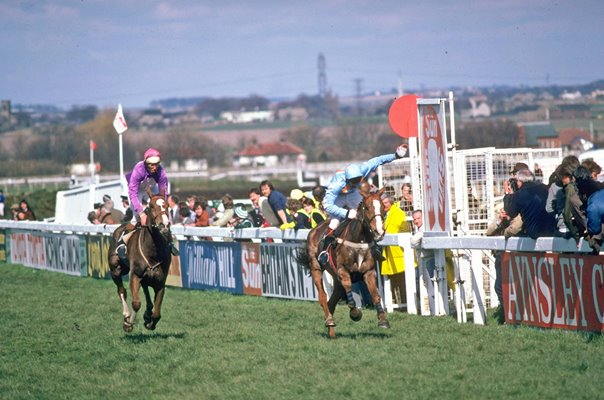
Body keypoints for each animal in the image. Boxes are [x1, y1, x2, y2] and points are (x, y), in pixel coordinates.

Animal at [107, 191, 170, 332]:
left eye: (168, 206)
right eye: (151, 206)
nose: (164, 224)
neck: (153, 251)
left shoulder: (160, 282)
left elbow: (157, 314)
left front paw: (149, 322)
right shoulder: (135, 275)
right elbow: (136, 303)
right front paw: (129, 323)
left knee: (146, 291)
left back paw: (147, 314)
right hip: (116, 269)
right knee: (121, 291)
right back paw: (126, 315)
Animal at [298, 188, 390, 338]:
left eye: (383, 206)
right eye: (367, 207)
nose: (379, 232)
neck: (359, 240)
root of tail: (314, 230)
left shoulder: (369, 272)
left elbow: (375, 294)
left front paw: (383, 320)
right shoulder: (343, 271)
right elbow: (348, 287)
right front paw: (355, 313)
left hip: (335, 279)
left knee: (332, 301)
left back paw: (330, 329)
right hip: (316, 267)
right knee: (323, 296)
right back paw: (329, 320)